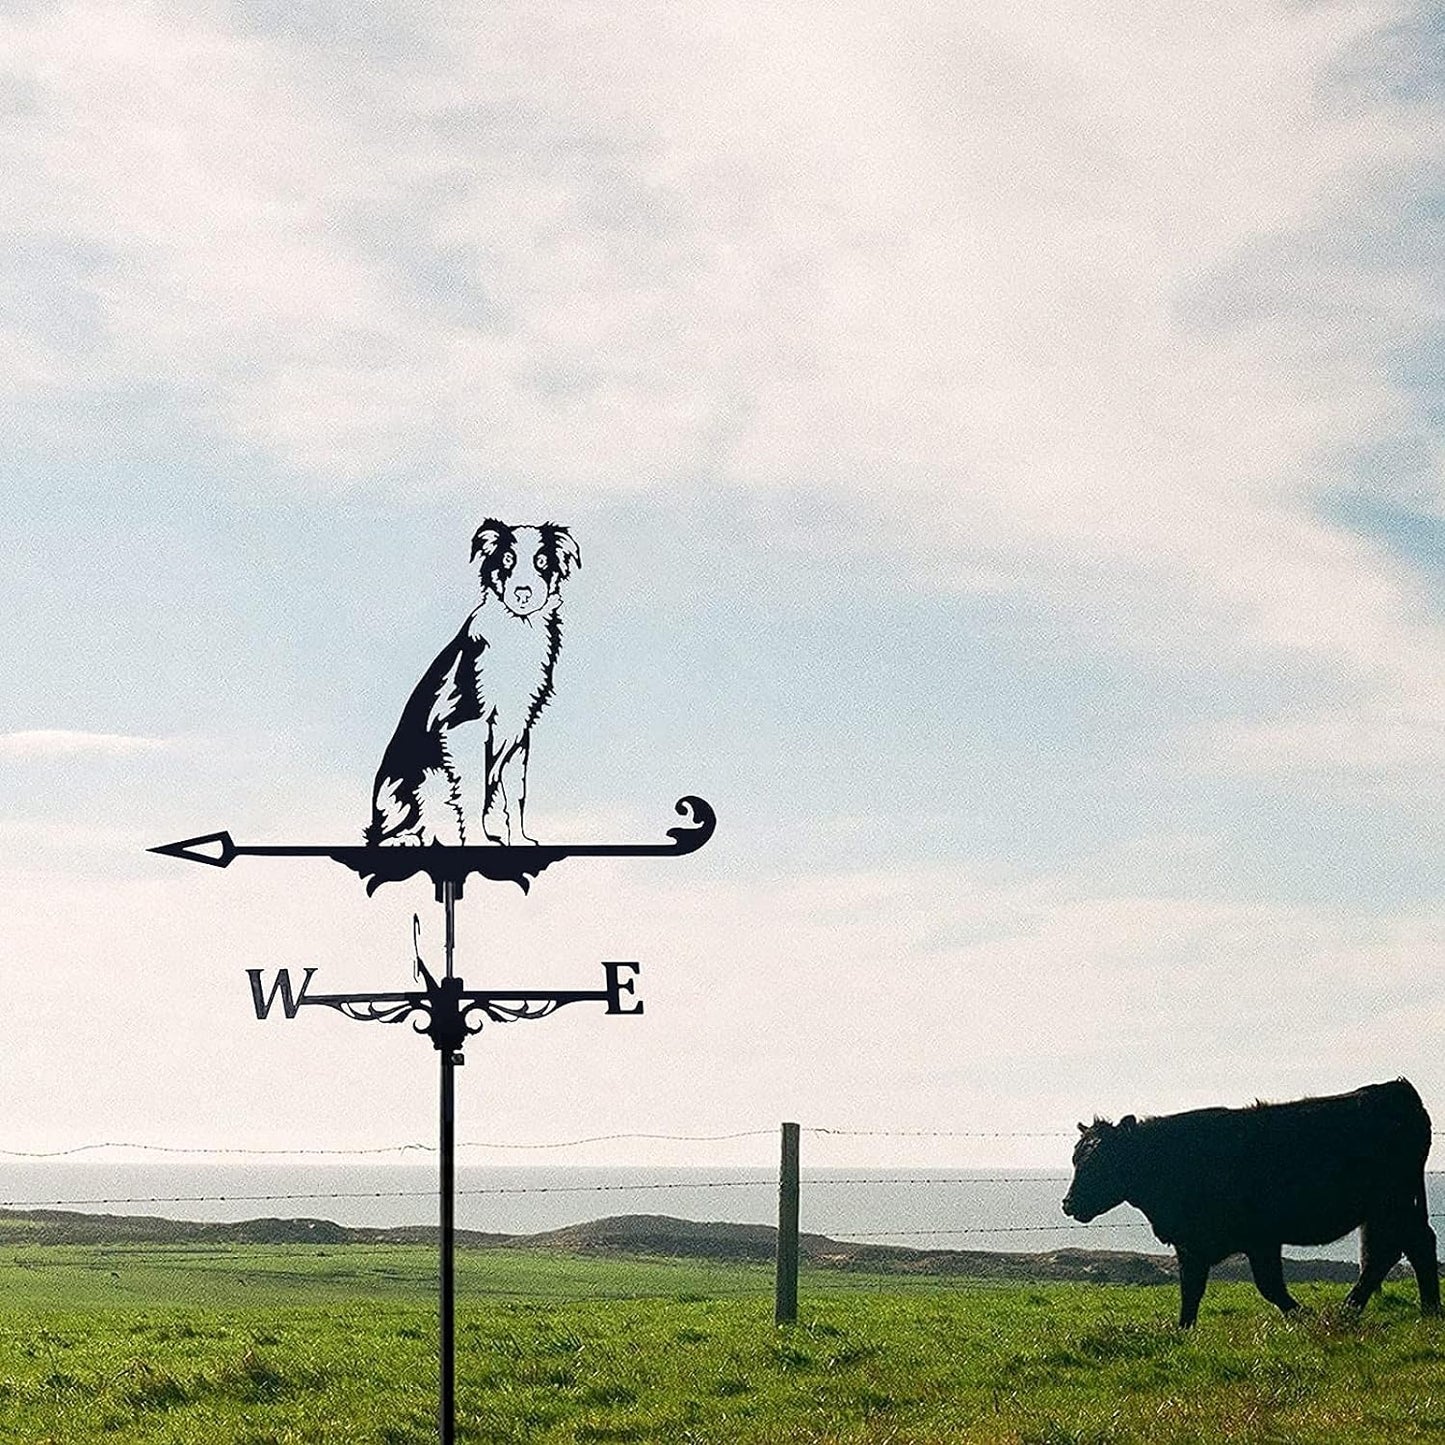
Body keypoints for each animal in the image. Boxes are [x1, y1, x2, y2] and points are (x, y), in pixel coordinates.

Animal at [1057, 1080, 1439, 1323]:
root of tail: (1397, 1089)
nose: (1068, 1203)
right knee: (1400, 1249)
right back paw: (1416, 1310)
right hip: (1387, 1208)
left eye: (1101, 1162)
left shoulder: (1260, 1239)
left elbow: (1269, 1287)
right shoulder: (1190, 1244)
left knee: (1400, 1249)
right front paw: (1183, 1332)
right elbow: (1190, 1291)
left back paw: (1366, 1310)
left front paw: (1305, 1316)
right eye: (1076, 1158)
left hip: (1392, 1203)